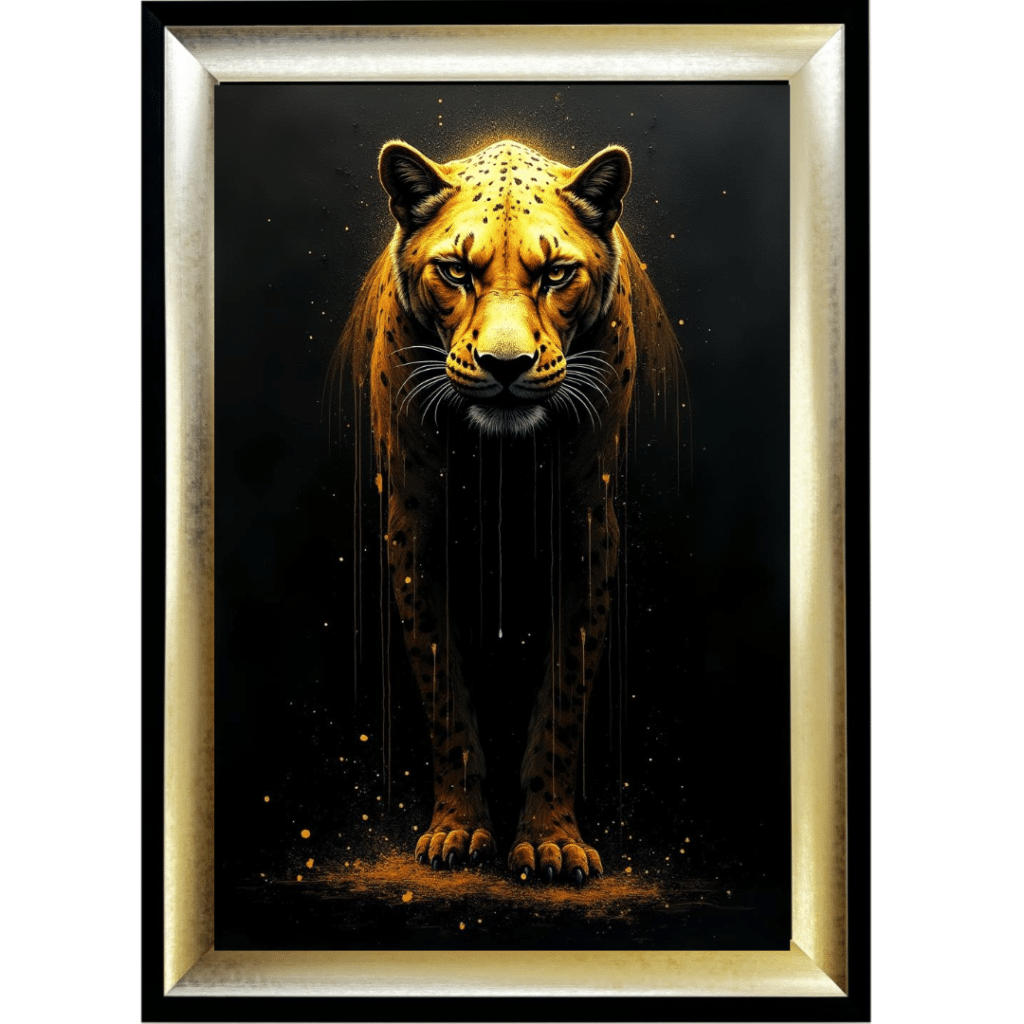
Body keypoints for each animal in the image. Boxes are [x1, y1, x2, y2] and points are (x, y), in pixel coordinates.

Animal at [336, 138, 682, 885]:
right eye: (456, 271)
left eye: (556, 274)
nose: (505, 365)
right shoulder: (415, 527)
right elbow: (444, 694)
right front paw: (458, 832)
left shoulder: (587, 526)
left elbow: (563, 698)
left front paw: (552, 842)